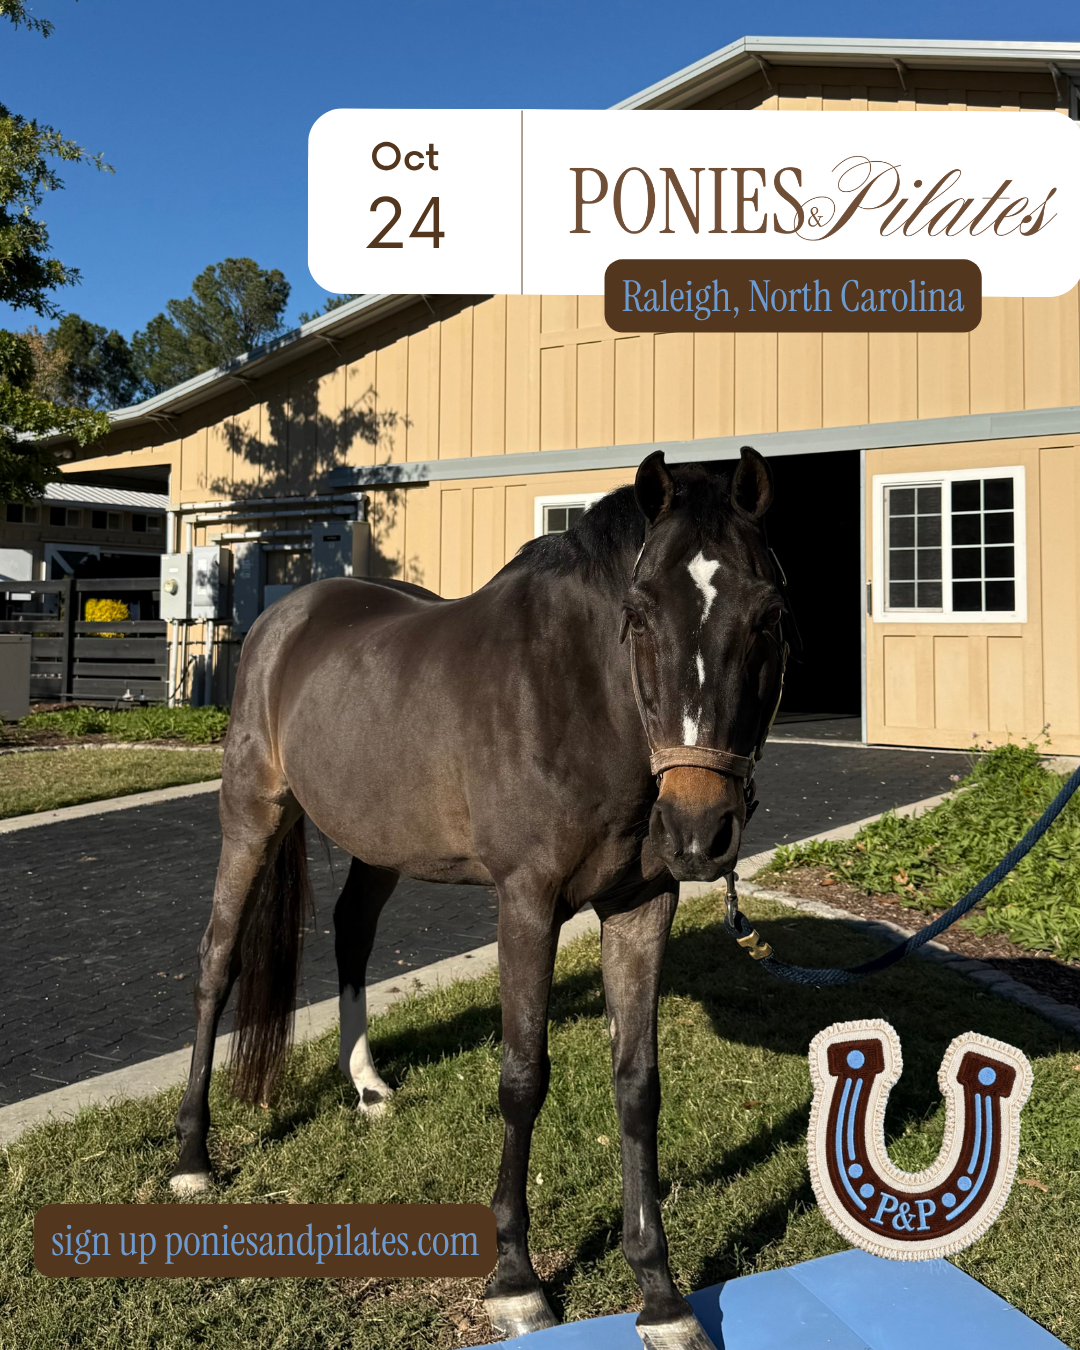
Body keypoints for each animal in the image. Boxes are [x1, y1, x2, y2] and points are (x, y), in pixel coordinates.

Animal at [170, 446, 788, 1350]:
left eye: (769, 614)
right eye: (639, 615)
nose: (699, 829)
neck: (580, 696)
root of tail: (288, 615)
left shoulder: (643, 906)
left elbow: (638, 1085)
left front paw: (661, 1295)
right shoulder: (526, 902)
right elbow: (522, 1078)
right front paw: (517, 1282)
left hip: (381, 839)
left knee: (351, 933)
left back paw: (367, 1085)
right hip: (252, 812)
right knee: (216, 963)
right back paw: (191, 1159)